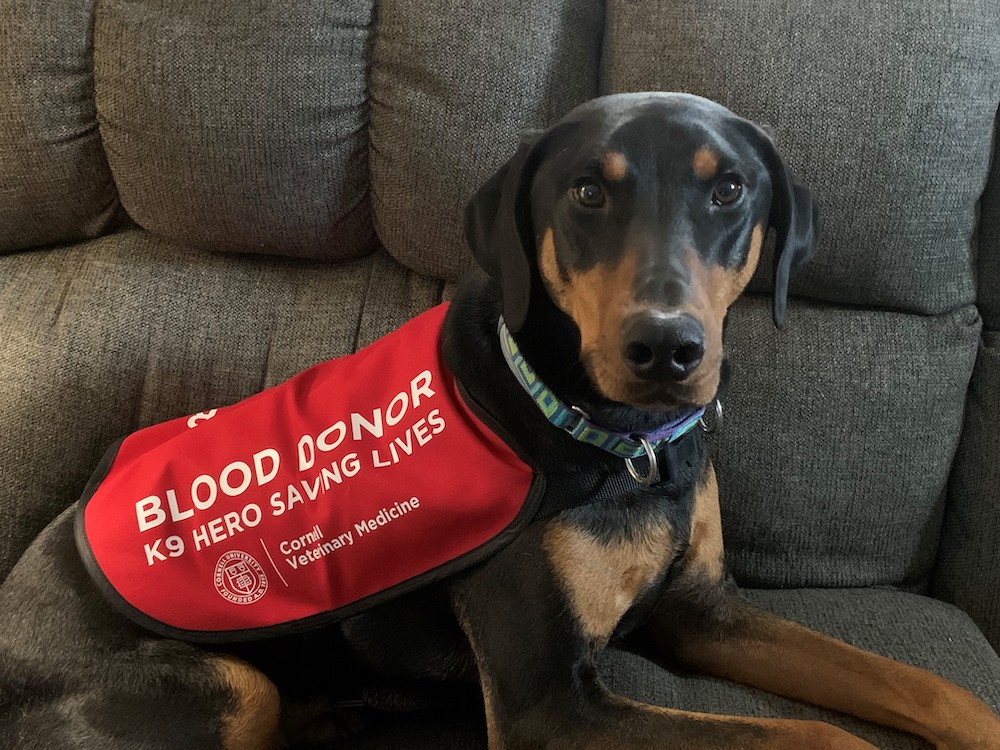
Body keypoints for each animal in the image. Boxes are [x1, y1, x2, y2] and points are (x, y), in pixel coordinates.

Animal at [1, 94, 1000, 750]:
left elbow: (921, 684)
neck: (625, 447)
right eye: (588, 193)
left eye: (730, 192)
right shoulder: (550, 706)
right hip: (223, 682)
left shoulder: (702, 610)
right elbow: (821, 737)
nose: (666, 349)